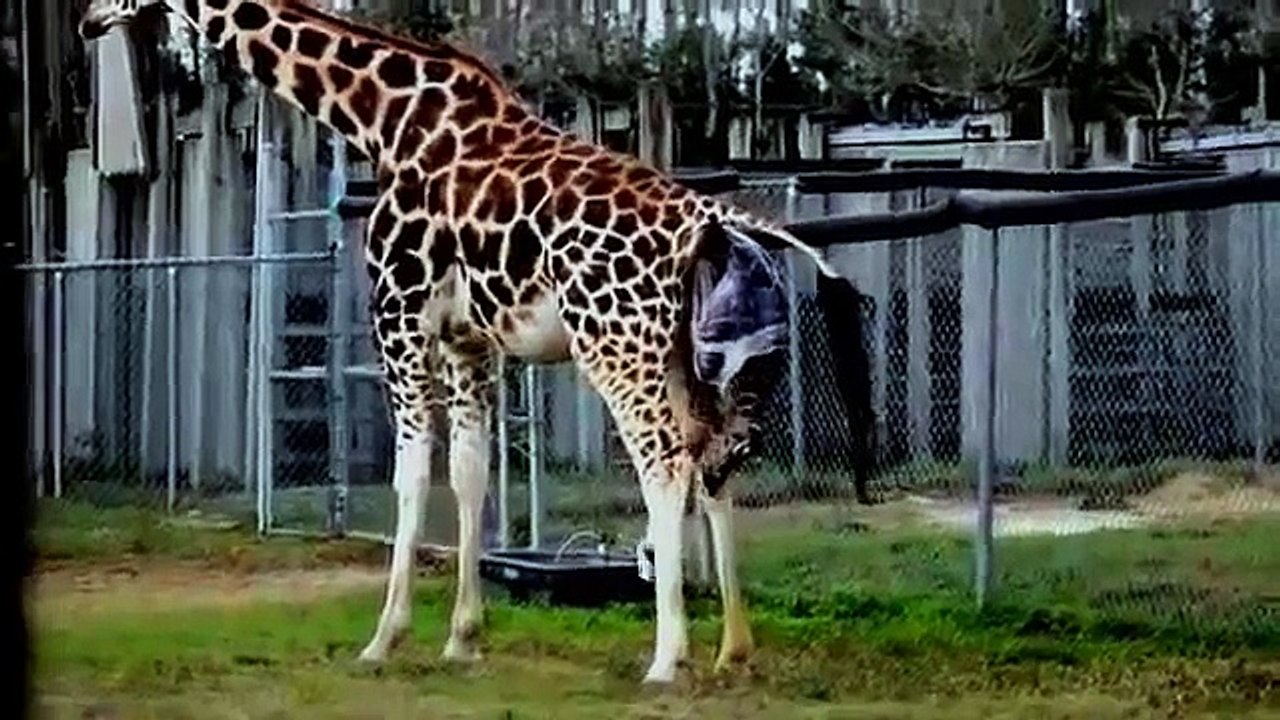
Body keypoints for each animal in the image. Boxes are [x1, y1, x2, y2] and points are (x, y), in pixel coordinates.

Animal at [78, 0, 877, 684]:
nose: (88, 20)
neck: (382, 118)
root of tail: (705, 219)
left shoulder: (399, 312)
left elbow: (411, 473)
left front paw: (385, 638)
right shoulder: (470, 338)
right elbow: (468, 472)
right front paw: (463, 638)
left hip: (617, 343)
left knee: (667, 463)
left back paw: (665, 658)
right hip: (686, 356)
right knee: (716, 460)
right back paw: (732, 649)